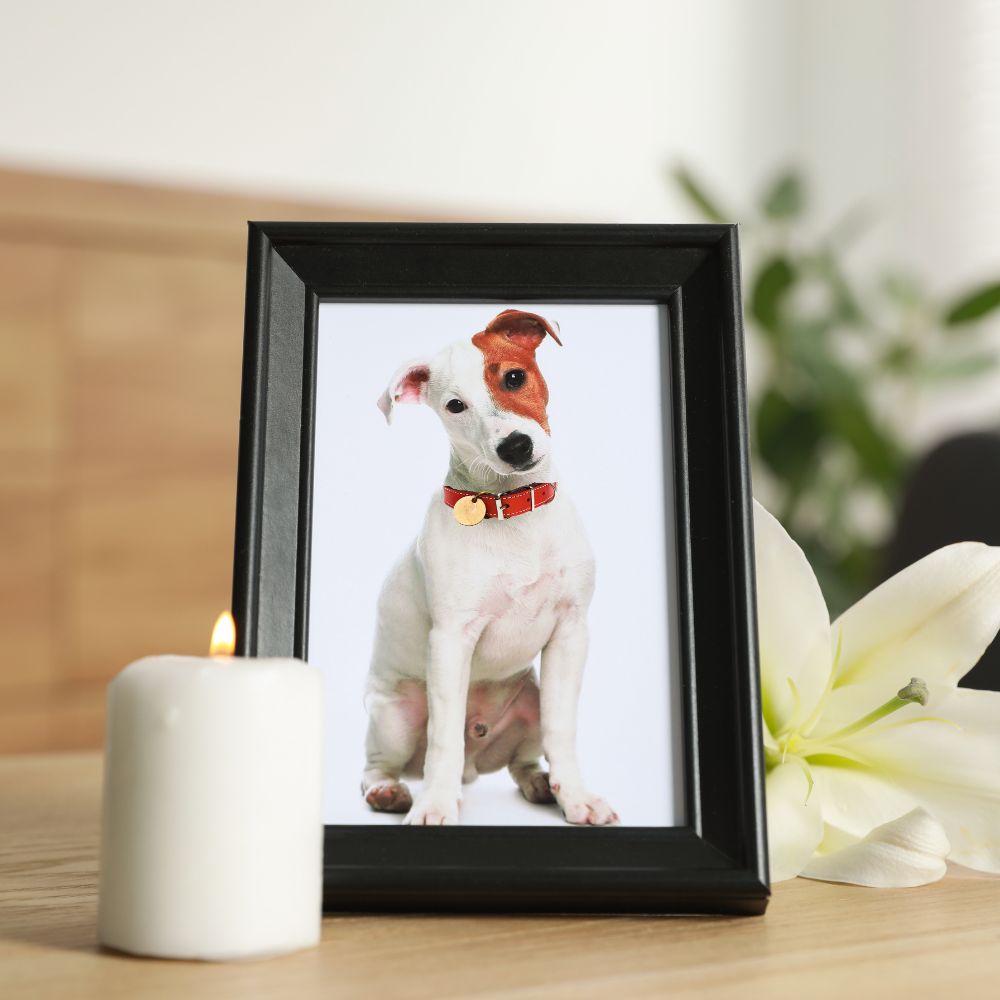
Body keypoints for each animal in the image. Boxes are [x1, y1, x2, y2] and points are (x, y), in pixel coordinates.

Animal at [366, 308, 616, 824]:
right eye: (455, 406)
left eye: (514, 377)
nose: (515, 446)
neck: (511, 511)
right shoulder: (449, 642)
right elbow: (443, 739)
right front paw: (435, 806)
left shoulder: (570, 633)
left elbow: (563, 729)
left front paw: (576, 798)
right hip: (395, 716)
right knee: (380, 763)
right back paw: (388, 792)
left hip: (530, 702)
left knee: (523, 760)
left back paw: (541, 784)